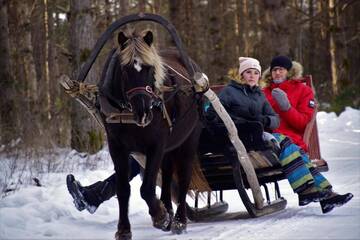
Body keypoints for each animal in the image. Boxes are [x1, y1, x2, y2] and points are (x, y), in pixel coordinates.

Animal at [100, 28, 204, 240]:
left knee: (183, 176)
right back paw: (169, 210)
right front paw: (123, 229)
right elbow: (123, 189)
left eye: (150, 69)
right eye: (124, 70)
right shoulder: (117, 147)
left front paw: (160, 216)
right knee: (167, 175)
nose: (143, 112)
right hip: (170, 146)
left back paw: (179, 220)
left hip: (189, 140)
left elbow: (147, 188)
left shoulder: (155, 145)